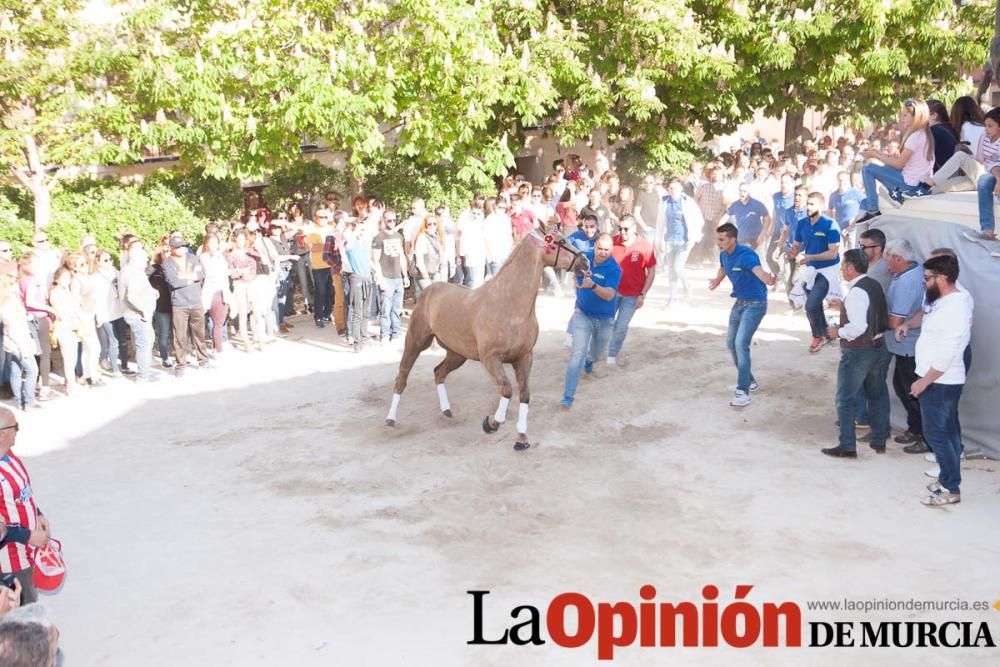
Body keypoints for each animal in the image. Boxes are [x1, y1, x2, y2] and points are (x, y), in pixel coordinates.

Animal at [382, 227, 584, 452]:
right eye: (560, 241)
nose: (585, 262)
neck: (509, 305)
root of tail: (429, 290)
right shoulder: (490, 358)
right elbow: (506, 390)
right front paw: (491, 424)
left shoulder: (524, 357)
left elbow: (524, 394)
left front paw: (521, 439)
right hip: (416, 342)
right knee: (402, 377)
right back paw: (390, 420)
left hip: (457, 354)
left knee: (438, 373)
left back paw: (447, 411)